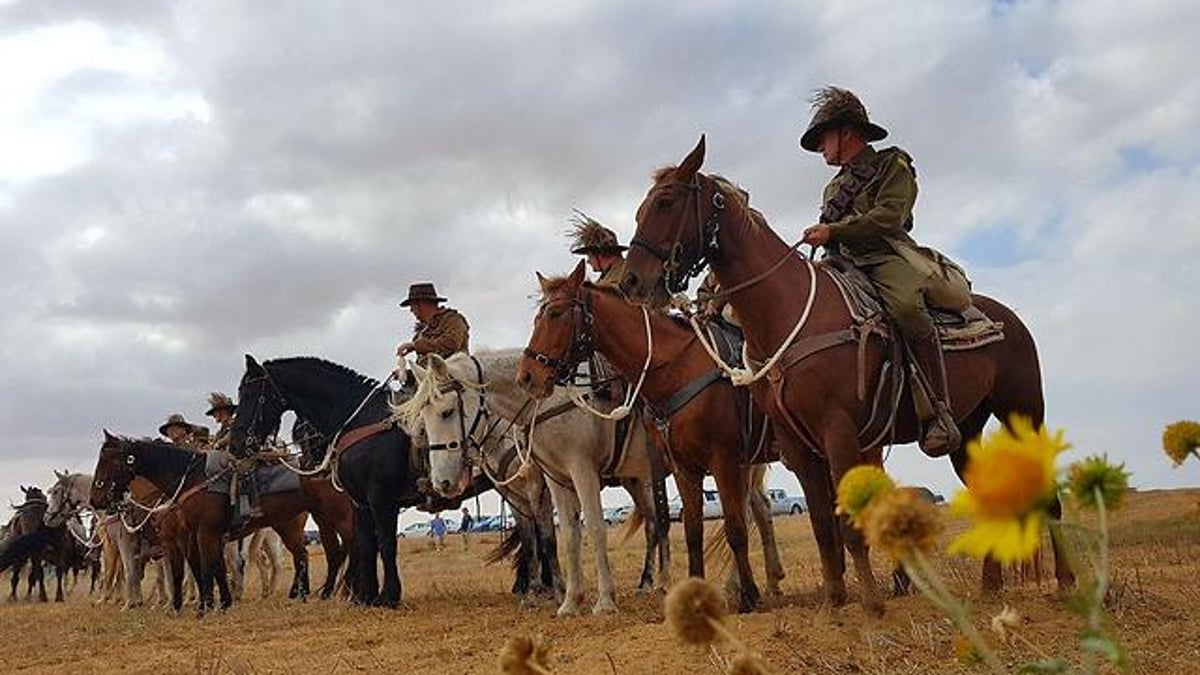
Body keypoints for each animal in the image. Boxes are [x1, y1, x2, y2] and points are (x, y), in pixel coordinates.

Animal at [91, 429, 352, 614]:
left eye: (107, 460)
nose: (96, 499)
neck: (191, 480)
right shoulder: (197, 536)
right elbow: (206, 567)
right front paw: (217, 603)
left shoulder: (194, 535)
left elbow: (200, 568)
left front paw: (200, 606)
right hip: (309, 522)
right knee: (317, 554)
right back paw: (315, 593)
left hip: (337, 518)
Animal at [398, 348, 672, 619]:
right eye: (423, 420)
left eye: (446, 412)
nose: (441, 483)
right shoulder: (526, 492)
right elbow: (540, 538)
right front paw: (538, 594)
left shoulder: (565, 478)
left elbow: (563, 535)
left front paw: (577, 595)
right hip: (634, 480)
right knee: (652, 522)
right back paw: (649, 582)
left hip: (649, 479)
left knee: (659, 522)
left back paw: (661, 582)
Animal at [516, 261, 787, 610]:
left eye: (555, 314)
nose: (526, 376)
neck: (679, 368)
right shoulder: (684, 467)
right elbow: (692, 530)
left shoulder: (721, 460)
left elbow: (734, 527)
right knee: (759, 509)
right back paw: (766, 581)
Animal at [624, 133, 1075, 612]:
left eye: (667, 202)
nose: (632, 281)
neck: (786, 310)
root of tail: (1009, 318)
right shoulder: (795, 442)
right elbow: (823, 522)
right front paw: (836, 601)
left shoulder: (835, 432)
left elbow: (846, 524)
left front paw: (872, 603)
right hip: (967, 429)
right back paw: (990, 585)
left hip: (1023, 413)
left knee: (1049, 498)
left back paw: (1065, 582)